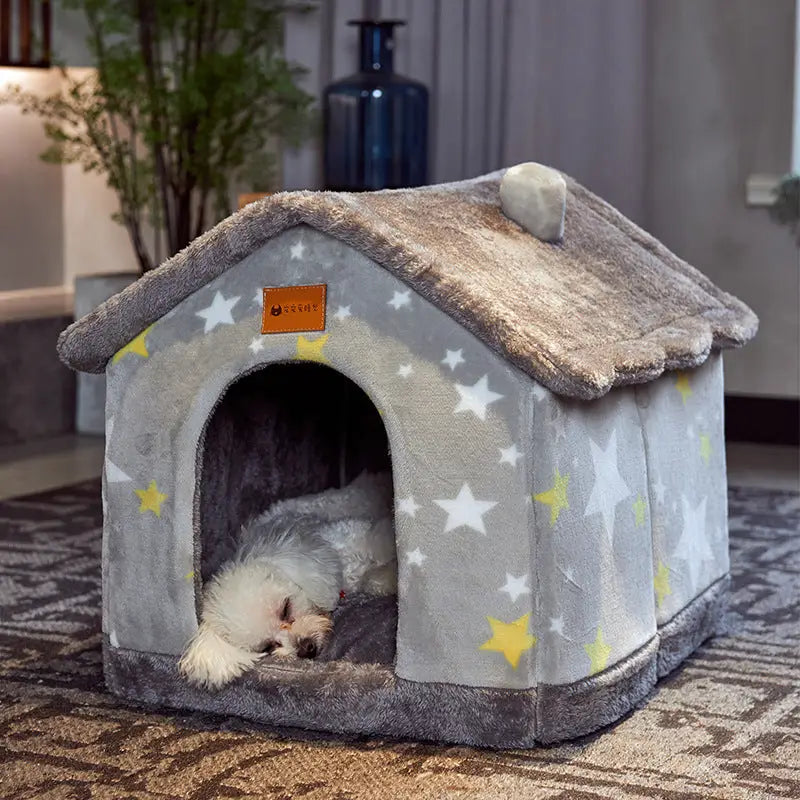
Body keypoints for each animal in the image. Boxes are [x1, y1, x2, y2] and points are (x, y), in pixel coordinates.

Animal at [180, 476, 396, 688]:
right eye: (268, 646)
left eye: (285, 608)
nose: (306, 648)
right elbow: (373, 579)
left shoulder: (358, 533)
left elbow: (382, 541)